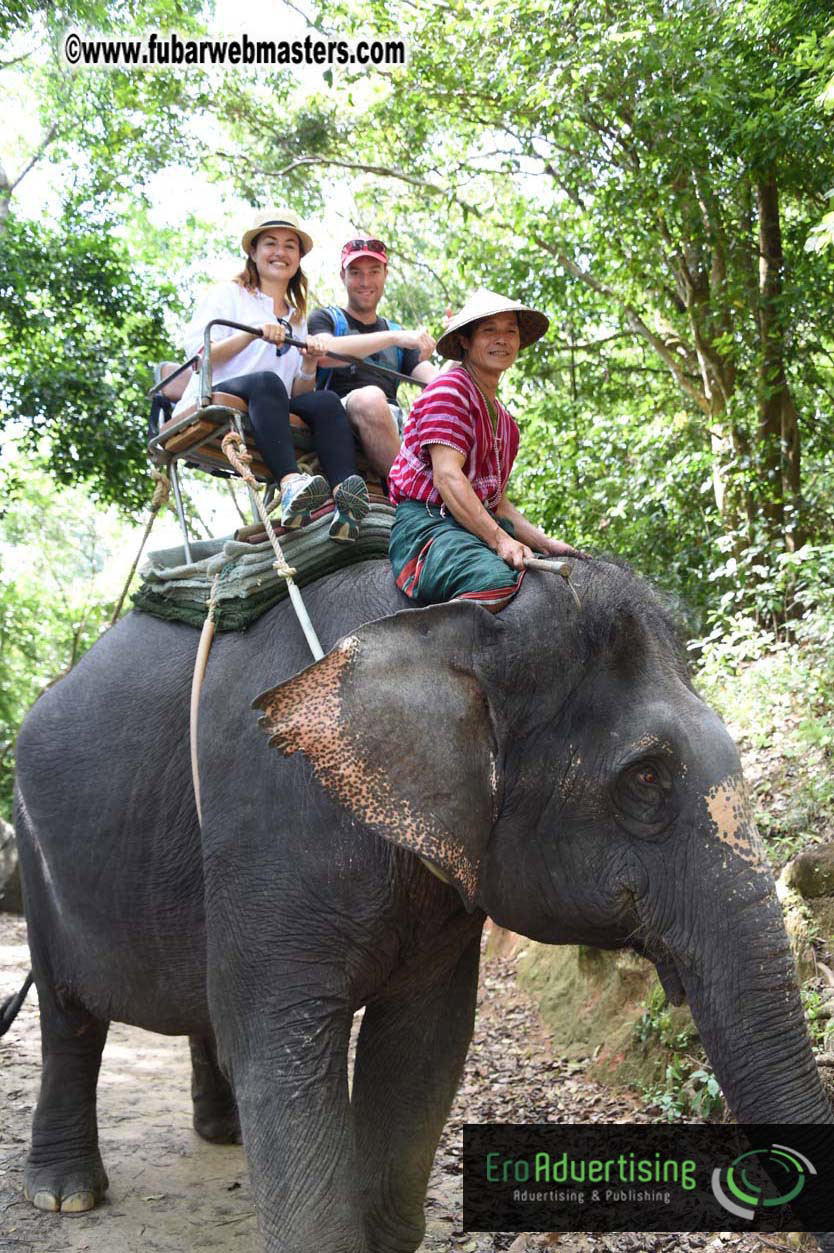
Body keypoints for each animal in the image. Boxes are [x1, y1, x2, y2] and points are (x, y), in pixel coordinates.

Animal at [9, 554, 834, 1252]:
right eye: (646, 778)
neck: (454, 616)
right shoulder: (271, 818)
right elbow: (280, 1051)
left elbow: (423, 1047)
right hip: (36, 856)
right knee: (67, 1015)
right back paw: (67, 1192)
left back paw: (222, 1132)